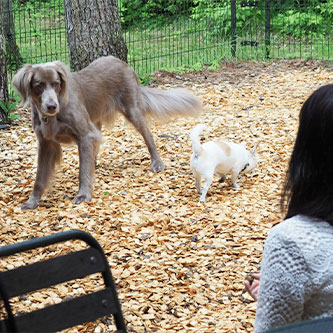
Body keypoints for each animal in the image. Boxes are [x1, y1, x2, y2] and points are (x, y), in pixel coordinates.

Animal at [12, 55, 200, 209]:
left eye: (57, 84)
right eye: (39, 85)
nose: (52, 106)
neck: (52, 116)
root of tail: (124, 64)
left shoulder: (85, 135)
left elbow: (82, 171)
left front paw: (83, 195)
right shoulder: (46, 143)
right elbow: (39, 177)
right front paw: (32, 201)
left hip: (132, 110)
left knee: (148, 136)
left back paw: (157, 163)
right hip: (96, 120)